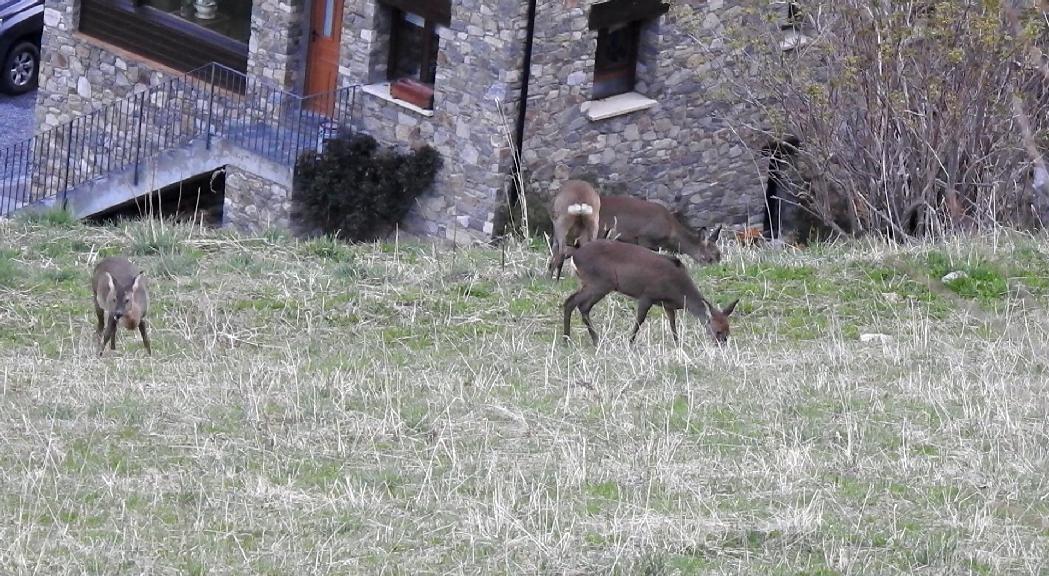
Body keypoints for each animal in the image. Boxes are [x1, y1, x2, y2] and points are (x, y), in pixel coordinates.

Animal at [562, 239, 742, 346]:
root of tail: (574, 256)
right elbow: (640, 320)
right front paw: (630, 342)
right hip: (600, 282)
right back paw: (582, 339)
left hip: (593, 283)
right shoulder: (647, 295)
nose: (721, 345)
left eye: (728, 330)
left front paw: (677, 344)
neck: (678, 291)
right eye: (718, 331)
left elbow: (672, 324)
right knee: (576, 303)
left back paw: (577, 339)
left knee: (576, 303)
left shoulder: (668, 305)